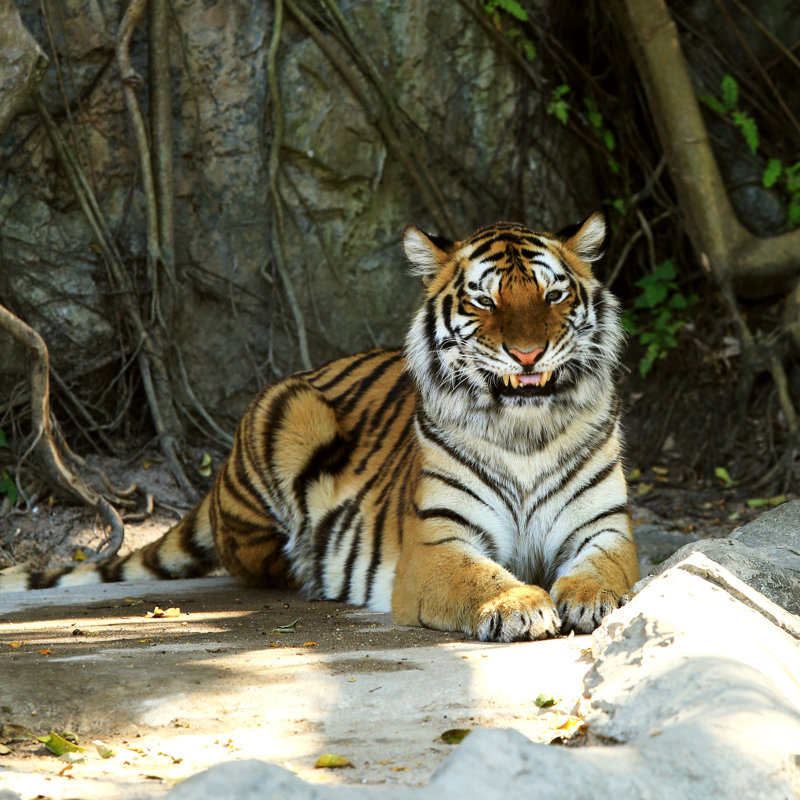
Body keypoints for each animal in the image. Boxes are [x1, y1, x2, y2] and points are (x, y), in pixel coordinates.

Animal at [0, 213, 638, 641]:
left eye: (553, 295)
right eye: (484, 302)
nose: (528, 354)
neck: (523, 433)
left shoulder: (605, 525)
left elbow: (604, 568)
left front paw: (592, 599)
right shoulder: (437, 542)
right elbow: (480, 577)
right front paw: (518, 606)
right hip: (289, 413)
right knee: (252, 558)